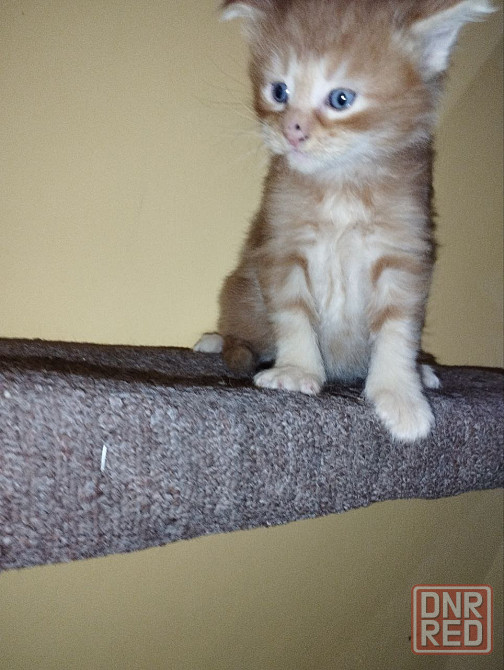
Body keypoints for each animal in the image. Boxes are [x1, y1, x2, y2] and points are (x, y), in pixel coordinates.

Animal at [195, 0, 494, 442]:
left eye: (341, 98)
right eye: (279, 92)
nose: (292, 131)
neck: (342, 187)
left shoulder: (404, 248)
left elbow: (398, 328)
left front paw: (400, 393)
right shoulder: (281, 243)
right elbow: (292, 311)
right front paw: (296, 371)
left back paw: (423, 370)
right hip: (239, 291)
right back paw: (215, 340)